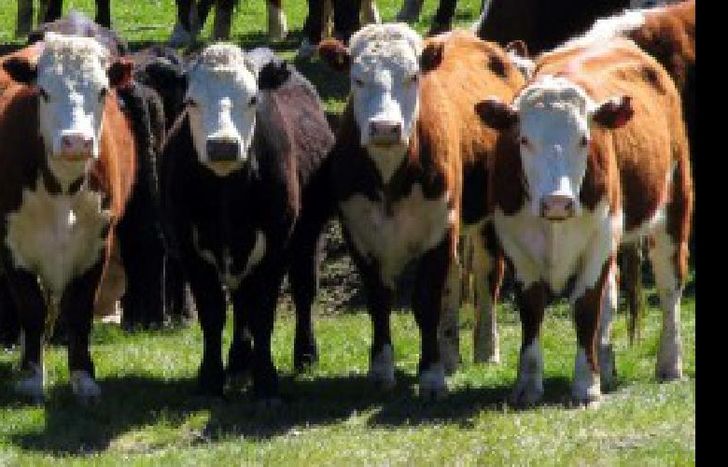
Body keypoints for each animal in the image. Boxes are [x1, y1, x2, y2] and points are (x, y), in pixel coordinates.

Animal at [0, 33, 138, 403]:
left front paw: (83, 378)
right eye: (44, 91)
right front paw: (32, 378)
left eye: (102, 90)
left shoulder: (97, 244)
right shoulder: (10, 245)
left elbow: (79, 312)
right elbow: (31, 309)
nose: (76, 141)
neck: (61, 185)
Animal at [160, 44, 335, 401]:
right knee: (241, 302)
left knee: (303, 292)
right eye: (191, 101)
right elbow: (213, 314)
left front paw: (266, 381)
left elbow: (263, 314)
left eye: (253, 99)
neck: (226, 192)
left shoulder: (276, 249)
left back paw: (305, 353)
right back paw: (239, 360)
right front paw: (210, 379)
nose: (223, 145)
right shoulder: (189, 250)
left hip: (308, 236)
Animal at [318, 25, 525, 398]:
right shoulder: (359, 234)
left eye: (413, 76)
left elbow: (427, 302)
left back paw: (486, 349)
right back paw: (450, 352)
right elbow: (379, 302)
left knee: (487, 276)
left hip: (486, 220)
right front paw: (381, 370)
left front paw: (431, 375)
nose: (385, 128)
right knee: (454, 279)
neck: (390, 176)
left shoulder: (439, 230)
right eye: (357, 79)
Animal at [475, 37, 692, 405]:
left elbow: (586, 308)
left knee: (669, 286)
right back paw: (606, 363)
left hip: (674, 207)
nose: (558, 202)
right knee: (612, 297)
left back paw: (669, 363)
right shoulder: (516, 245)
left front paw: (586, 386)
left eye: (584, 139)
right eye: (523, 139)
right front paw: (527, 384)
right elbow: (532, 309)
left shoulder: (599, 240)